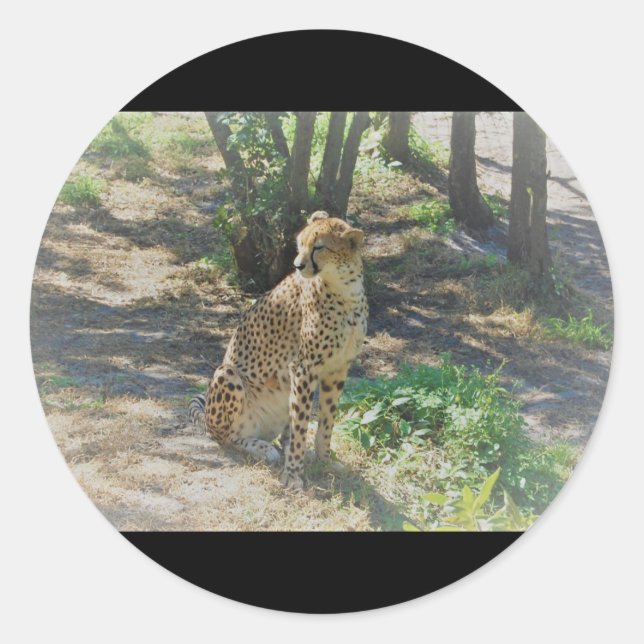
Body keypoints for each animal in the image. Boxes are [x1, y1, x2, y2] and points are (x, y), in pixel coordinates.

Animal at [188, 210, 367, 489]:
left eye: (319, 247)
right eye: (300, 244)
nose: (297, 265)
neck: (345, 289)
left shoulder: (337, 369)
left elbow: (326, 421)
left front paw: (325, 459)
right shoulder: (304, 368)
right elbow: (302, 426)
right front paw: (293, 474)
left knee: (285, 430)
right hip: (227, 373)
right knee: (226, 436)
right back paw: (262, 448)